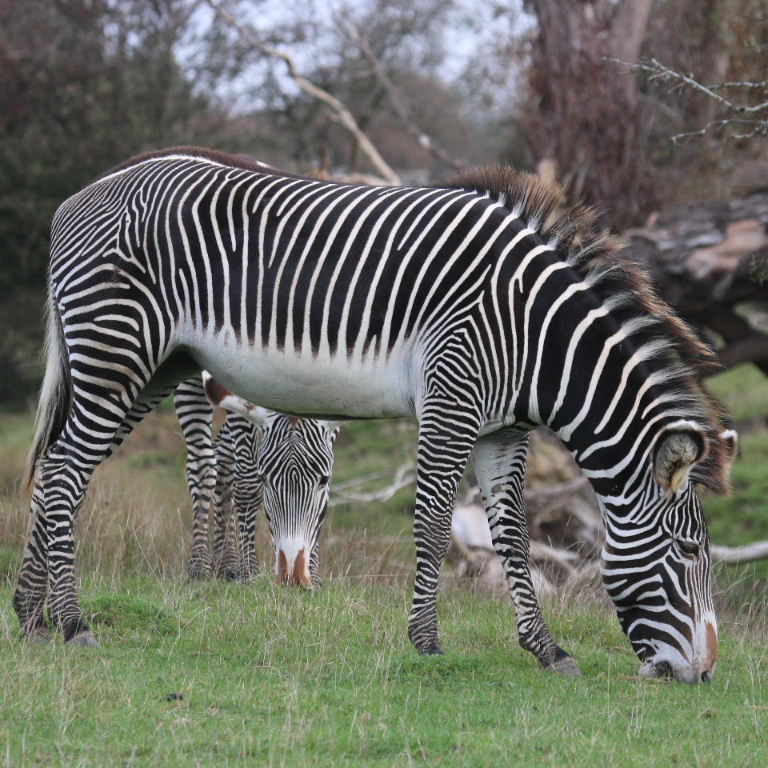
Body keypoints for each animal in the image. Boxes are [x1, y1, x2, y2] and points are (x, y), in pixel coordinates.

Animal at [173, 374, 338, 584]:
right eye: (265, 480)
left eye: (324, 480)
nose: (294, 577)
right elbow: (247, 482)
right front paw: (249, 571)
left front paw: (313, 573)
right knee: (203, 461)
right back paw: (200, 565)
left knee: (223, 457)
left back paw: (226, 563)